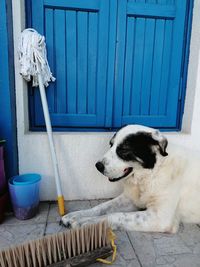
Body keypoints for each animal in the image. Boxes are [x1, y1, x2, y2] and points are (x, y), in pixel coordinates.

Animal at [61, 125, 200, 232]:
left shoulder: (160, 218)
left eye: (123, 150)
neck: (152, 173)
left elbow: (115, 216)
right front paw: (75, 215)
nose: (98, 166)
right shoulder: (130, 199)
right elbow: (101, 207)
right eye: (111, 145)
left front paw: (88, 222)